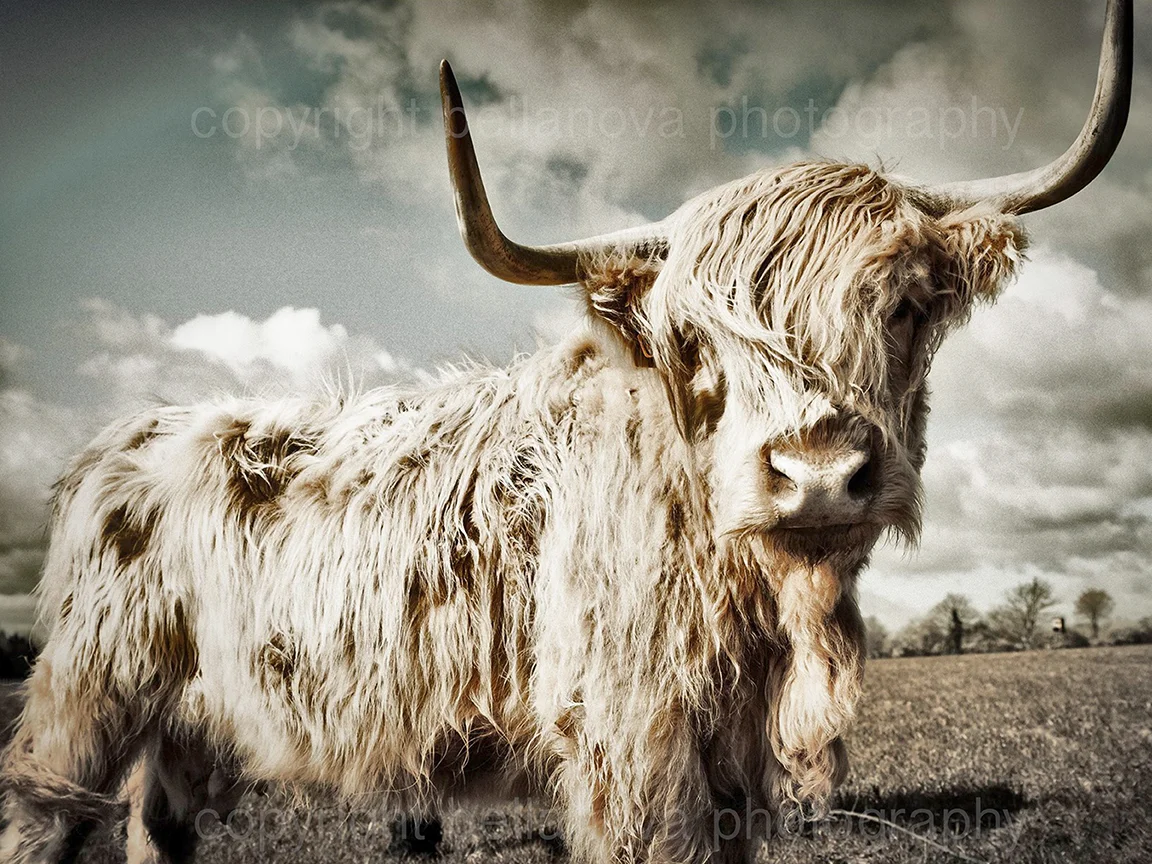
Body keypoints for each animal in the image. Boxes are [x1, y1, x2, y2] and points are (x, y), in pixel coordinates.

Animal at [0, 1, 1132, 862]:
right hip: (86, 691)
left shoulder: (726, 765)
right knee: (40, 810)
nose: (815, 474)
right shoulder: (631, 747)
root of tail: (128, 436)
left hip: (185, 722)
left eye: (902, 305)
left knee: (156, 824)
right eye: (692, 339)